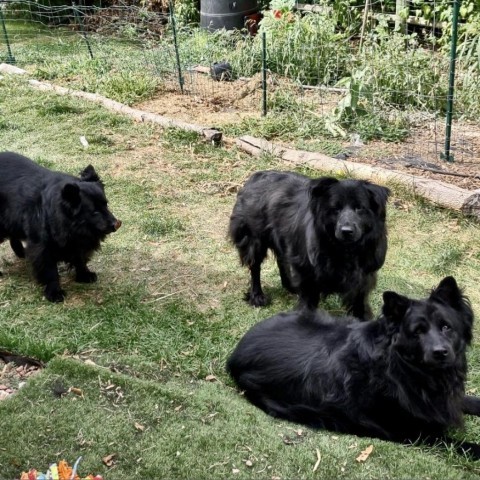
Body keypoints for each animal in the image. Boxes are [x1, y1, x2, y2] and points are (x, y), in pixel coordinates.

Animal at [0, 152, 122, 302]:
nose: (117, 223)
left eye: (106, 204)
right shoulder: (44, 244)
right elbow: (49, 268)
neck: (74, 225)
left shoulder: (77, 239)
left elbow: (80, 257)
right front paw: (55, 293)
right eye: (94, 212)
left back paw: (22, 253)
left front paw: (85, 275)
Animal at [227, 276, 480, 456]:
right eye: (417, 332)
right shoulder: (415, 433)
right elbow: (465, 446)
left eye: (446, 327)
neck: (402, 368)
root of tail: (235, 354)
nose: (441, 353)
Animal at [229, 170, 390, 318]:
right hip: (253, 237)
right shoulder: (308, 272)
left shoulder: (363, 278)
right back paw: (257, 296)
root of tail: (254, 177)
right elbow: (307, 302)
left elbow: (360, 304)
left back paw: (290, 286)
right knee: (255, 266)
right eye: (335, 209)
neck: (344, 249)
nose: (346, 231)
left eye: (359, 208)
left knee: (282, 259)